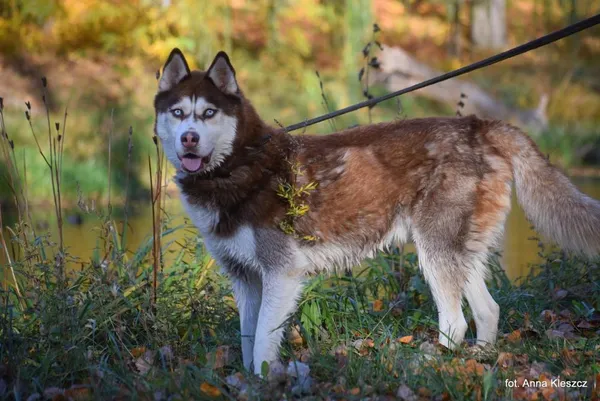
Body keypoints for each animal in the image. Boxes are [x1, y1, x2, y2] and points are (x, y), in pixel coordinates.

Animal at [155, 48, 600, 374]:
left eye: (208, 113)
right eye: (178, 113)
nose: (189, 138)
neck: (240, 163)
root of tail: (480, 125)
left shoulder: (281, 274)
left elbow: (263, 341)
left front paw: (264, 383)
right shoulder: (245, 280)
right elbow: (248, 342)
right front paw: (248, 381)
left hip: (434, 252)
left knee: (455, 321)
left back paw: (433, 365)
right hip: (457, 252)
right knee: (488, 311)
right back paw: (478, 361)